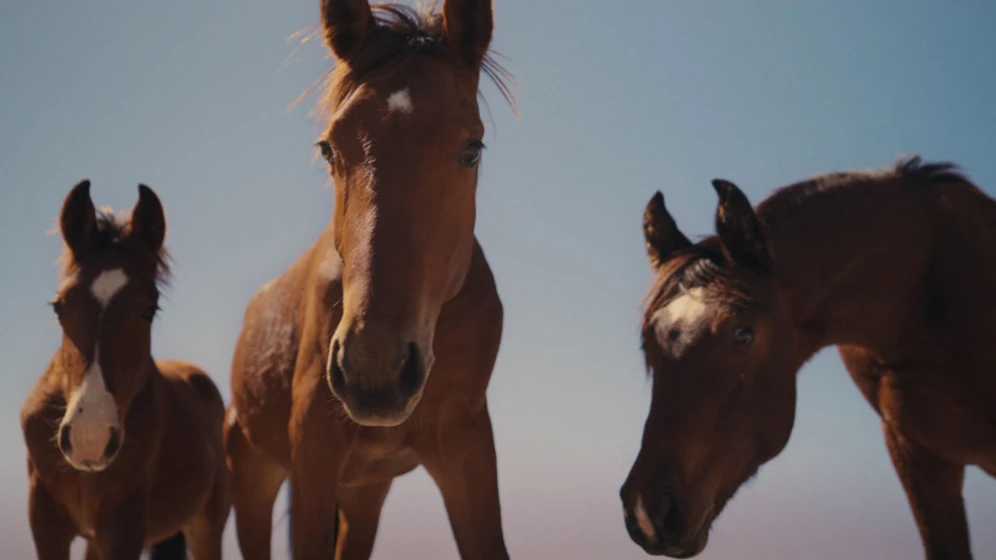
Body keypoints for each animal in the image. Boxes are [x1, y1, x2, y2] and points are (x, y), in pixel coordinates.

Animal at [20, 181, 230, 560]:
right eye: (59, 306)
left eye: (150, 309)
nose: (90, 438)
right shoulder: (45, 521)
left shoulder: (124, 526)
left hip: (207, 525)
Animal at [223, 1, 512, 558]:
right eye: (328, 149)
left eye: (472, 148)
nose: (372, 367)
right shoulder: (312, 458)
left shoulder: (467, 448)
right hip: (252, 475)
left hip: (364, 491)